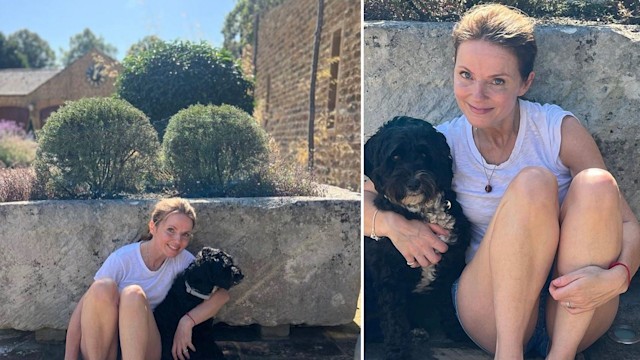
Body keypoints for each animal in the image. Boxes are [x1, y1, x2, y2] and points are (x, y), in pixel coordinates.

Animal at [364, 116, 470, 358]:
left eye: (424, 154)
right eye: (395, 156)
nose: (413, 183)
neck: (423, 211)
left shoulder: (449, 265)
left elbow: (448, 304)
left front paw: (457, 331)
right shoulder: (389, 279)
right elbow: (394, 320)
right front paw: (398, 351)